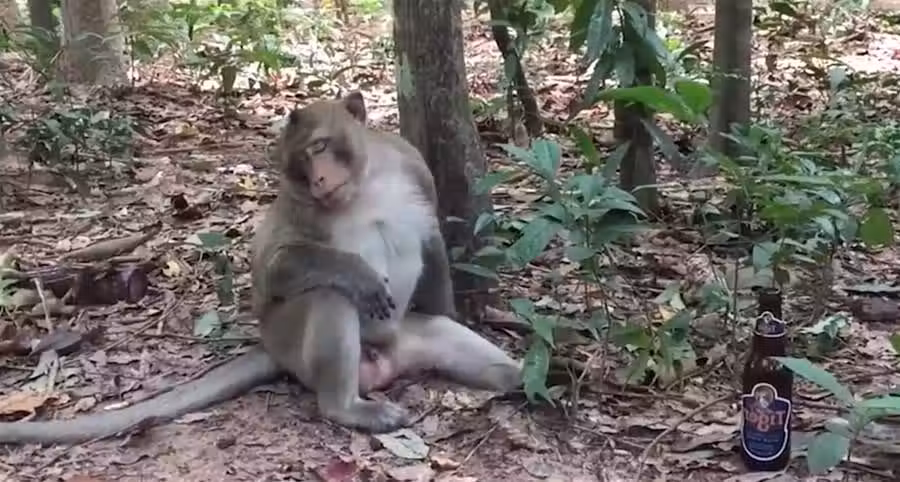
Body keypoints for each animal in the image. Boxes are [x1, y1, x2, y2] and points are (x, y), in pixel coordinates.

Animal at [0, 92, 522, 445]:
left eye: (319, 147)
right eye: (298, 166)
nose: (318, 180)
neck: (366, 184)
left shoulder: (414, 168)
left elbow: (432, 241)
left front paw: (450, 306)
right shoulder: (298, 206)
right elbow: (273, 269)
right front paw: (357, 274)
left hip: (409, 338)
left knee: (458, 346)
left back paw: (524, 377)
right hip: (296, 345)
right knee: (329, 296)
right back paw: (346, 407)